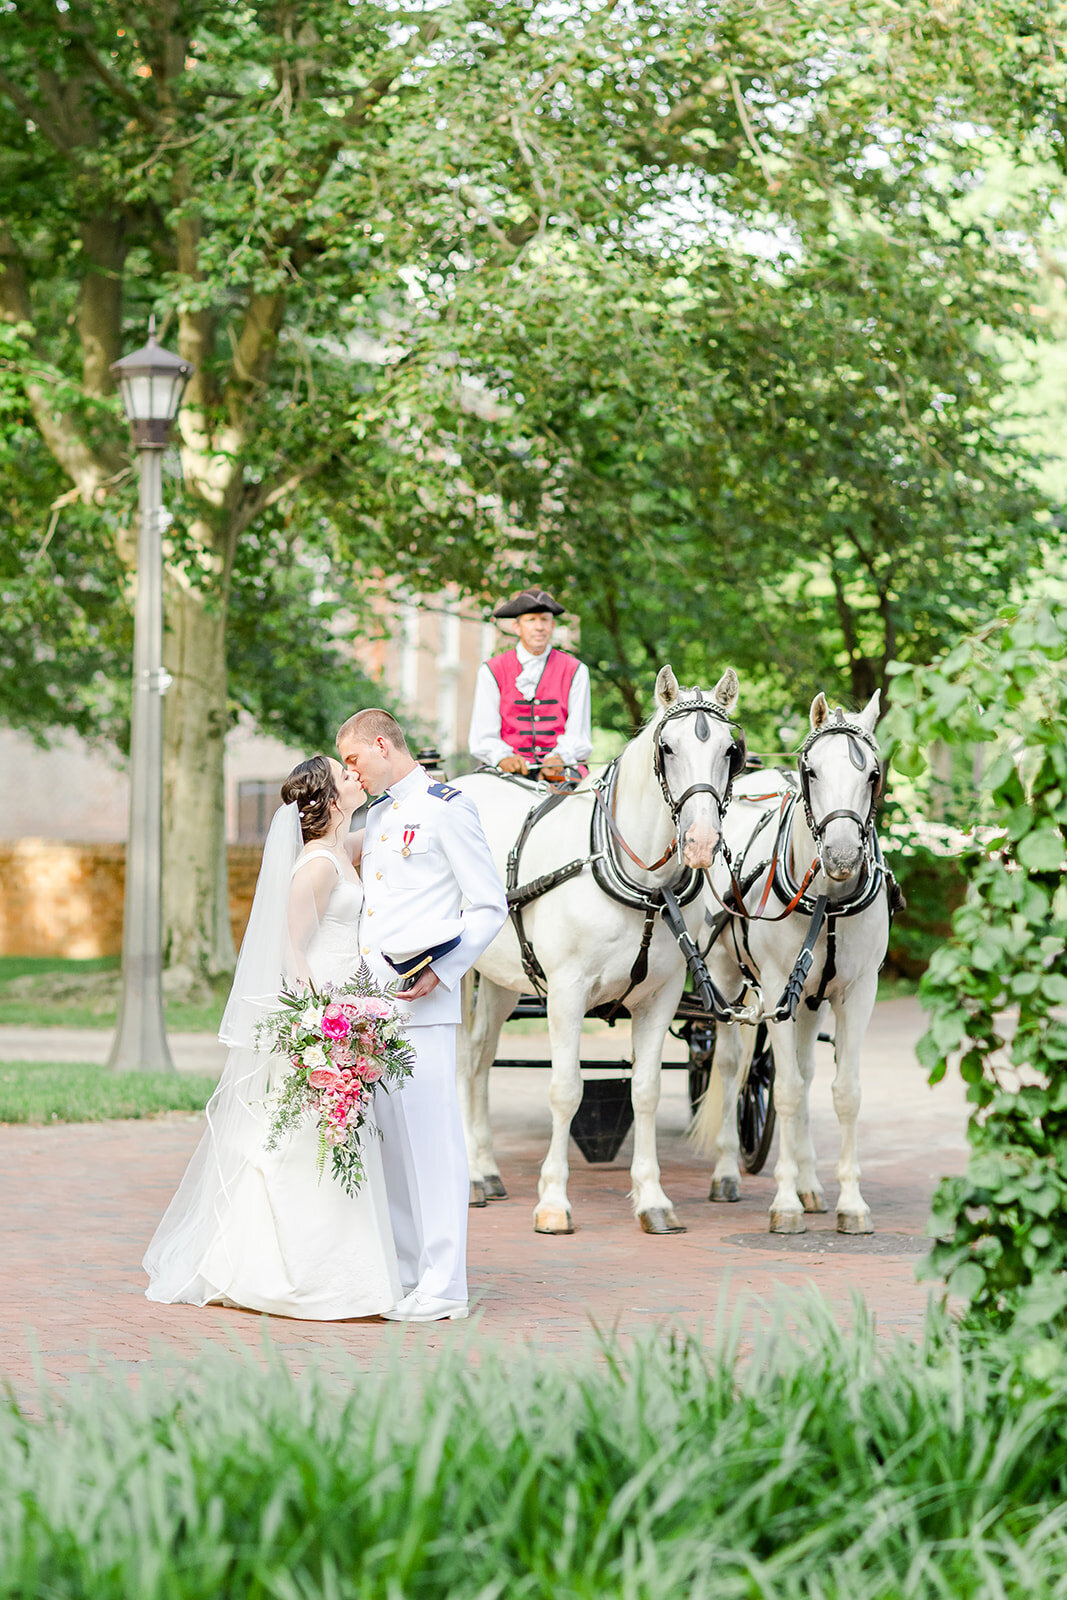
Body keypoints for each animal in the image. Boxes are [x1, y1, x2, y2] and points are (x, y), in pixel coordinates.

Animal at [454, 662, 748, 1235]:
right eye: (667, 747)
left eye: (731, 750)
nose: (701, 842)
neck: (640, 880)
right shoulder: (566, 993)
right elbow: (566, 1090)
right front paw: (552, 1202)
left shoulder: (658, 998)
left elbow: (646, 1091)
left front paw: (653, 1199)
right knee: (458, 1062)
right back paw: (469, 1178)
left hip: (502, 979)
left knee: (479, 1060)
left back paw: (484, 1170)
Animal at [694, 691, 895, 1235]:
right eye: (811, 771)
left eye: (873, 774)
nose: (843, 855)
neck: (827, 898)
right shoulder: (775, 986)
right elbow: (783, 1091)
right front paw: (783, 1204)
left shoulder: (856, 993)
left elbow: (843, 1092)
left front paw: (851, 1202)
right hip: (728, 977)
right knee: (732, 1067)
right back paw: (726, 1173)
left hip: (809, 1000)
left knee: (804, 1073)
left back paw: (809, 1185)